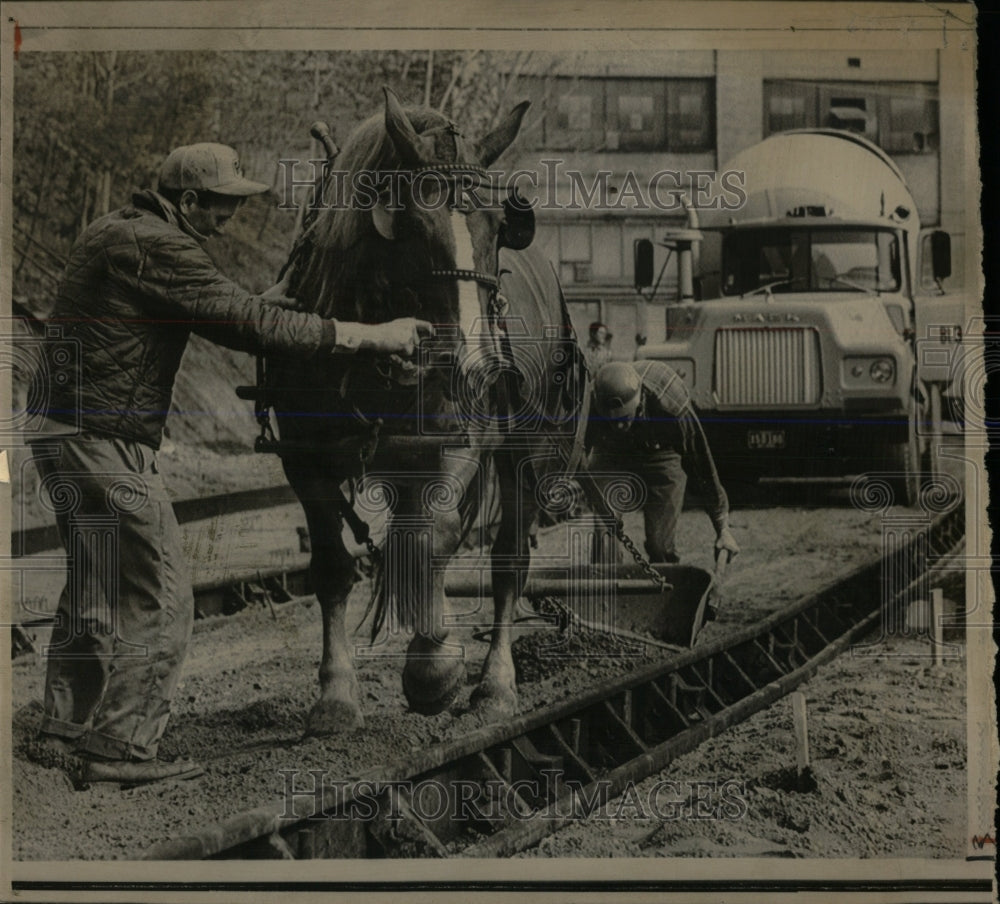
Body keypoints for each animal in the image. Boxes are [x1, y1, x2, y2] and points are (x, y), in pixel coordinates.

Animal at [270, 90, 588, 736]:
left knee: (507, 561)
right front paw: (336, 695)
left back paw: (494, 684)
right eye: (411, 224)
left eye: (498, 226)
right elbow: (333, 566)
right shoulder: (305, 458)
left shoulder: (459, 439)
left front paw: (434, 670)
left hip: (526, 452)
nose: (476, 364)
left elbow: (436, 539)